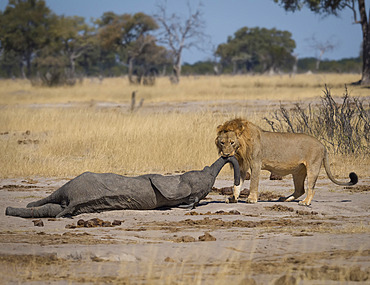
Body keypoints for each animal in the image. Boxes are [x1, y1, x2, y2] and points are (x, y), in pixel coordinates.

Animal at [215, 117, 356, 204]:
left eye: (232, 142)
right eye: (222, 142)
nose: (226, 154)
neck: (241, 148)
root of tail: (322, 145)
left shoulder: (256, 163)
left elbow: (253, 182)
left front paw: (251, 199)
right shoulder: (243, 166)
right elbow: (237, 184)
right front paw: (233, 198)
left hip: (313, 167)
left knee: (311, 188)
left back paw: (305, 202)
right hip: (298, 172)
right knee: (300, 190)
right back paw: (285, 199)